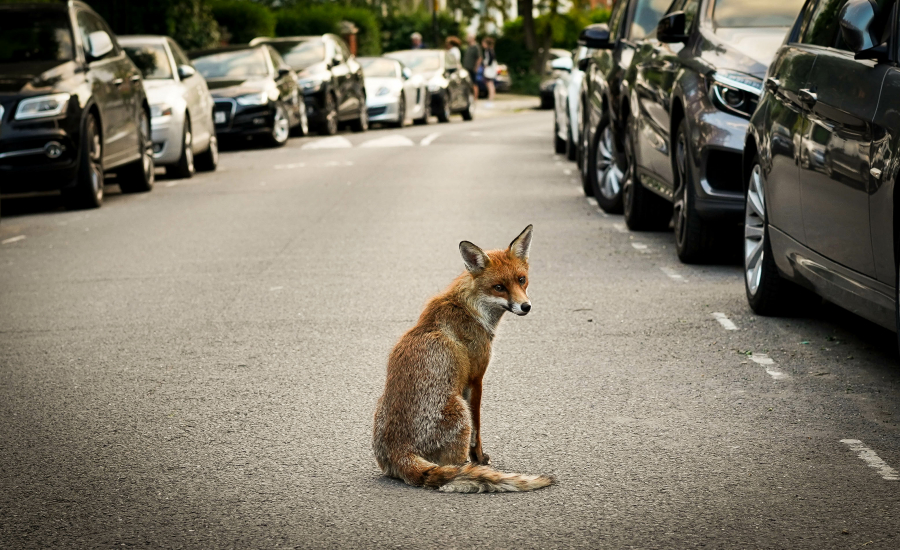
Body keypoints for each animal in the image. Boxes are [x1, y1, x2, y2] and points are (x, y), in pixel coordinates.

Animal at [370, 225, 552, 496]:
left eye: (521, 280)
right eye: (499, 287)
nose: (526, 306)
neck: (471, 309)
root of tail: (399, 451)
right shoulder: (476, 379)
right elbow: (478, 429)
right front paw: (480, 459)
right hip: (459, 409)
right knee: (451, 466)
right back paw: (466, 472)